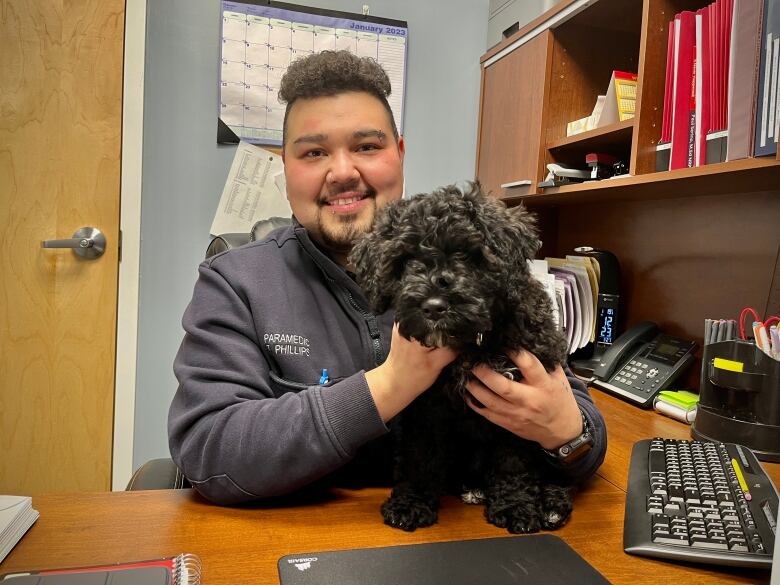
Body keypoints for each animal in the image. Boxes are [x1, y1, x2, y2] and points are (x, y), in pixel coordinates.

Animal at [350, 180, 576, 532]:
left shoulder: (521, 410)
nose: (433, 307)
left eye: (467, 255)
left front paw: (515, 506)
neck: (473, 343)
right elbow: (420, 457)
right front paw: (412, 502)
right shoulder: (425, 407)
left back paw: (551, 503)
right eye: (405, 261)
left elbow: (513, 462)